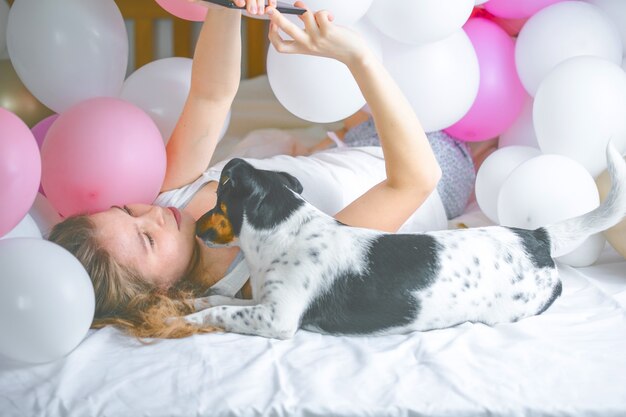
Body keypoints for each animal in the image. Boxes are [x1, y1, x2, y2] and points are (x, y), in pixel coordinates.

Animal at [182, 143, 624, 338]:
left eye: (217, 200)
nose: (193, 226)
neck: (283, 229)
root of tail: (536, 237)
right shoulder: (263, 302)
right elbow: (224, 302)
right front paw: (198, 301)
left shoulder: (278, 318)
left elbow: (223, 313)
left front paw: (187, 319)